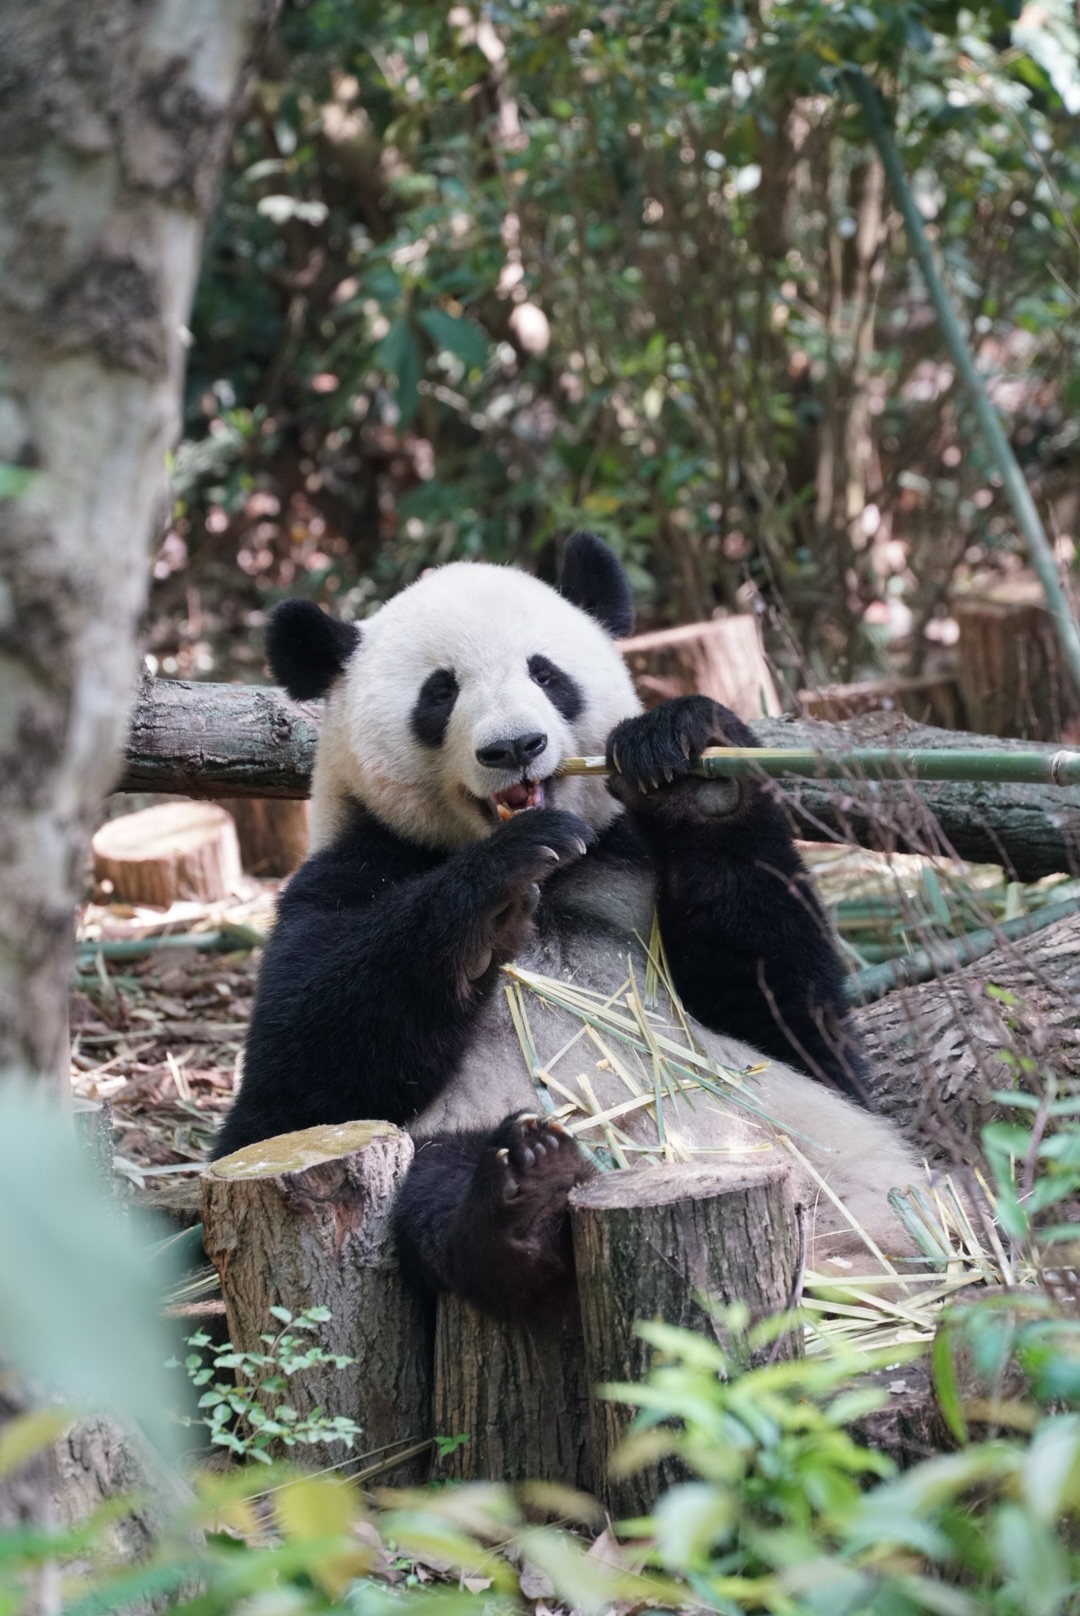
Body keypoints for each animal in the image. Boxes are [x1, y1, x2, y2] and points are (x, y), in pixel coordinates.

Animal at [213, 533, 921, 1320]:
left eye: (547, 674)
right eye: (440, 693)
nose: (514, 747)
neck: (558, 879)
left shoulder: (632, 871)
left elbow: (791, 1015)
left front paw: (686, 761)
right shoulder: (344, 874)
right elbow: (295, 1083)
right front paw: (495, 892)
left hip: (833, 1152)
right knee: (438, 1180)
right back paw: (528, 1190)